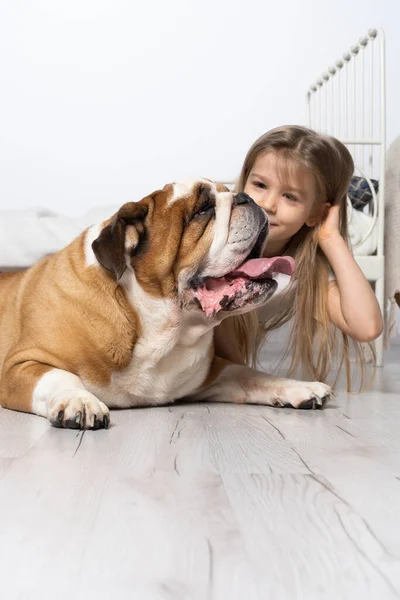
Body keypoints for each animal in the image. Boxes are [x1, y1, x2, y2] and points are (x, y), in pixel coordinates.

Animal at [0, 180, 332, 428]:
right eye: (203, 209)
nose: (246, 197)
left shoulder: (211, 372)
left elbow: (250, 375)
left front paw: (300, 387)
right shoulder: (19, 366)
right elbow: (59, 376)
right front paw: (79, 401)